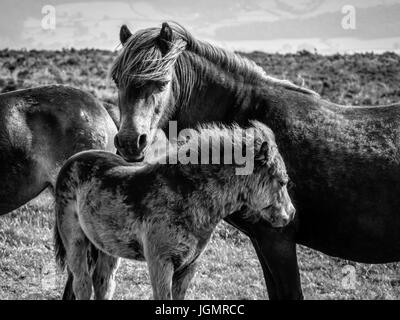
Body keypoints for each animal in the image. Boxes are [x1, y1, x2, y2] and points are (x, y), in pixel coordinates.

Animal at [54, 120, 296, 300]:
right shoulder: (161, 264)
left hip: (106, 248)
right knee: (82, 284)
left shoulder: (188, 267)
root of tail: (71, 162)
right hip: (76, 242)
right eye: (282, 181)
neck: (186, 195)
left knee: (103, 284)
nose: (291, 214)